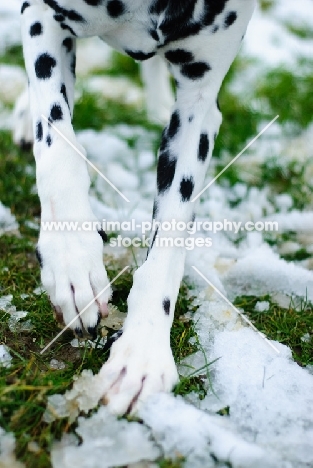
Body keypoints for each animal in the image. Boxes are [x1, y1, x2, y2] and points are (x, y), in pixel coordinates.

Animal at [18, 0, 254, 414]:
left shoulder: (198, 104)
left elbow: (170, 238)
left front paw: (143, 352)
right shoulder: (42, 19)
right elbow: (57, 139)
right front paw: (71, 259)